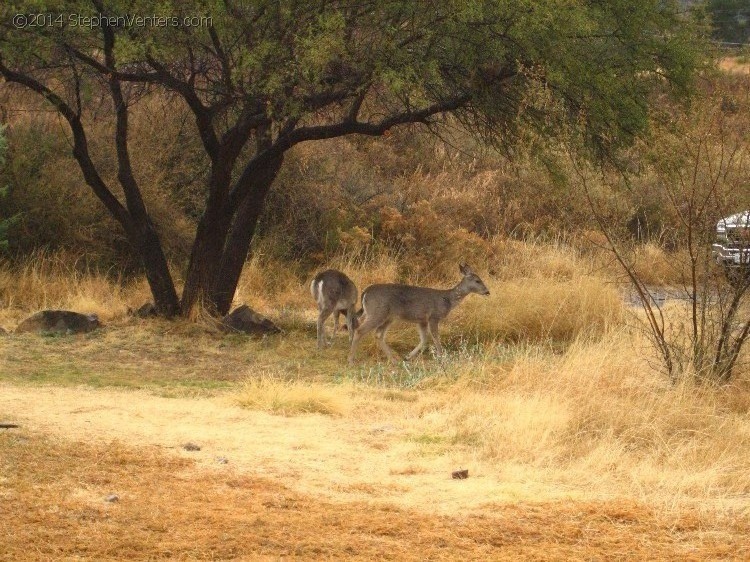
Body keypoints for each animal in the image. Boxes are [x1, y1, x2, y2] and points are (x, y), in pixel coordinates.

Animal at [348, 264, 490, 364]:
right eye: (477, 281)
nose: (487, 291)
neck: (448, 300)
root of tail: (365, 292)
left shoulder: (422, 320)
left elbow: (424, 339)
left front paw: (407, 357)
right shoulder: (434, 316)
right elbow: (435, 337)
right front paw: (442, 357)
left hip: (388, 317)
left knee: (378, 335)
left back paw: (394, 360)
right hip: (377, 312)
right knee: (360, 330)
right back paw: (351, 360)